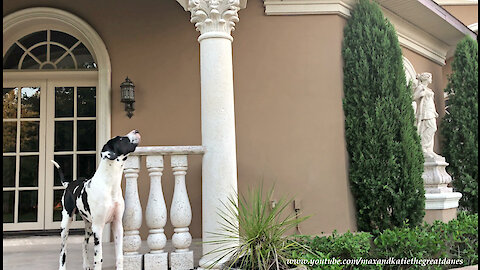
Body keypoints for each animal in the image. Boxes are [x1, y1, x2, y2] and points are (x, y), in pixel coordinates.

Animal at [53, 130, 142, 268]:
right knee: (63, 251)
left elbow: (119, 257)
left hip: (89, 226)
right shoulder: (98, 228)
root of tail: (69, 184)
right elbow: (99, 258)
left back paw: (86, 265)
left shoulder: (117, 225)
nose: (136, 131)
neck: (110, 185)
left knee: (83, 243)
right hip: (66, 224)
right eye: (121, 139)